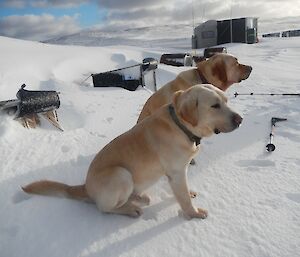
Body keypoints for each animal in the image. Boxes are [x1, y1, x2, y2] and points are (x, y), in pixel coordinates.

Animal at [24, 83, 244, 218]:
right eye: (214, 106)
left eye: (226, 101)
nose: (240, 119)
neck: (180, 126)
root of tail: (85, 186)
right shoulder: (176, 172)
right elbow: (183, 198)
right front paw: (194, 213)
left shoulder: (182, 169)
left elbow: (185, 189)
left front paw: (190, 194)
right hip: (120, 174)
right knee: (105, 208)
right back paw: (131, 209)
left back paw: (139, 197)